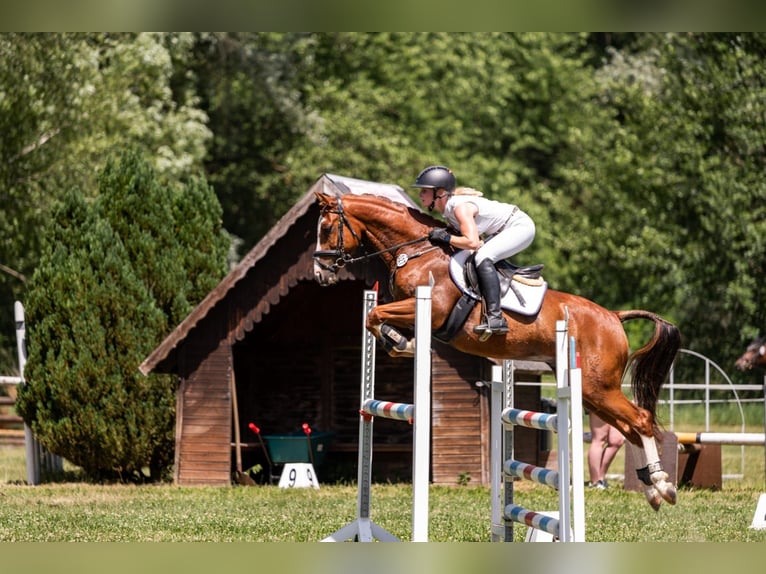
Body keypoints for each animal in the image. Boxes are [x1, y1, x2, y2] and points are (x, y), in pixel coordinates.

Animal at [312, 194, 684, 512]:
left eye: (326, 229)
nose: (319, 274)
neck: (416, 251)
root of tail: (613, 317)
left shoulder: (429, 309)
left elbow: (375, 315)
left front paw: (405, 344)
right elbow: (374, 317)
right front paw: (399, 343)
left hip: (597, 385)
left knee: (640, 419)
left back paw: (664, 486)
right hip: (591, 392)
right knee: (629, 427)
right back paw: (653, 489)